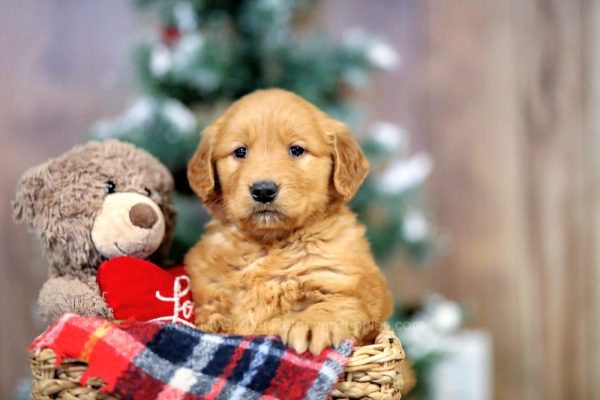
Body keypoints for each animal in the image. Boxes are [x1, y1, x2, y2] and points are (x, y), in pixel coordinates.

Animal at [186, 89, 394, 354]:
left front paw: (312, 324)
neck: (269, 245)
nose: (263, 190)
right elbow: (212, 319)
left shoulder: (355, 283)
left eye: (296, 150)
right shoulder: (210, 291)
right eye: (240, 152)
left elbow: (344, 300)